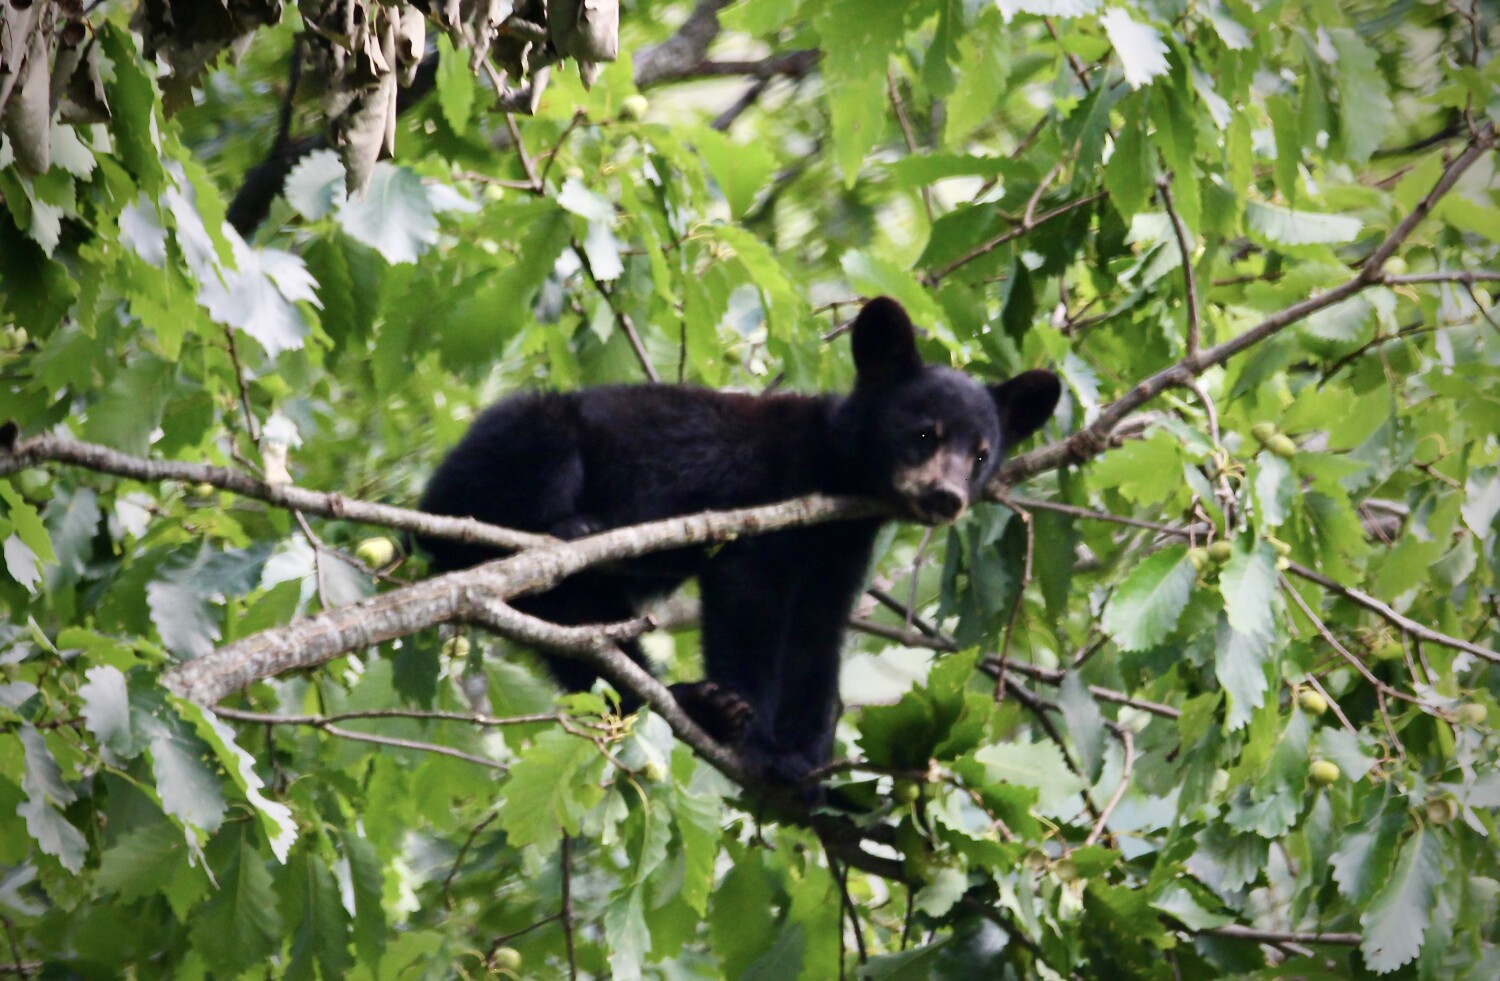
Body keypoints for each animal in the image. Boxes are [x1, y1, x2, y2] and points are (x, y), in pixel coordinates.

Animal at [418, 296, 1061, 788]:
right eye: (925, 433)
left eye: (981, 454)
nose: (946, 497)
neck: (832, 470)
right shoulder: (768, 502)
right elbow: (748, 597)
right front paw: (758, 744)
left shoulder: (840, 550)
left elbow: (814, 636)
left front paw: (806, 763)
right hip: (509, 448)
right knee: (528, 451)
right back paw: (570, 531)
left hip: (556, 603)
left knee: (590, 645)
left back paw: (686, 700)